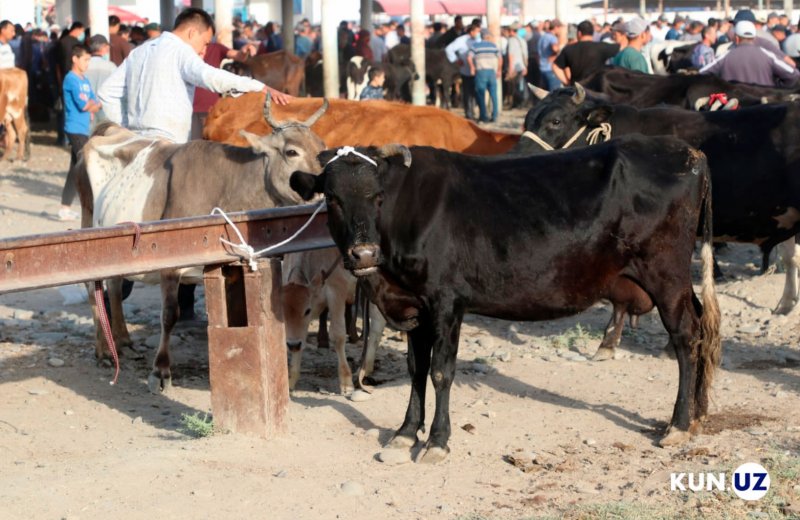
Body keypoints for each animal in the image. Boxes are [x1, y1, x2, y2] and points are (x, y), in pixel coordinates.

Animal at [292, 136, 720, 462]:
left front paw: (437, 441)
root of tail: (690, 152)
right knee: (701, 326)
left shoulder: (446, 302)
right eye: (332, 198)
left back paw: (679, 424)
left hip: (665, 273)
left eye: (378, 195)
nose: (363, 254)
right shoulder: (413, 305)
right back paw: (699, 413)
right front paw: (406, 432)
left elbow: (441, 372)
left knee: (685, 335)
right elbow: (416, 369)